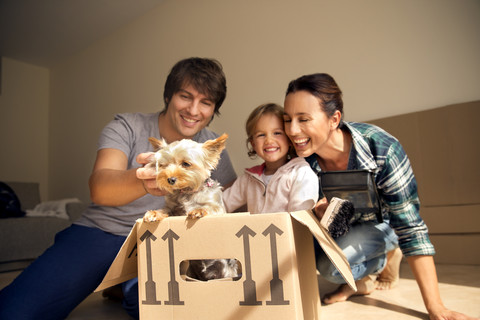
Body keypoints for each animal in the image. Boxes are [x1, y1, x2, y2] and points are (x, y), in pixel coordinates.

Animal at [142, 134, 240, 282]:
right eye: (164, 165)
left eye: (186, 164)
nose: (170, 179)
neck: (186, 192)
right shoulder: (173, 210)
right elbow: (164, 210)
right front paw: (153, 214)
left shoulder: (217, 208)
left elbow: (208, 208)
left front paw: (198, 211)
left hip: (227, 273)